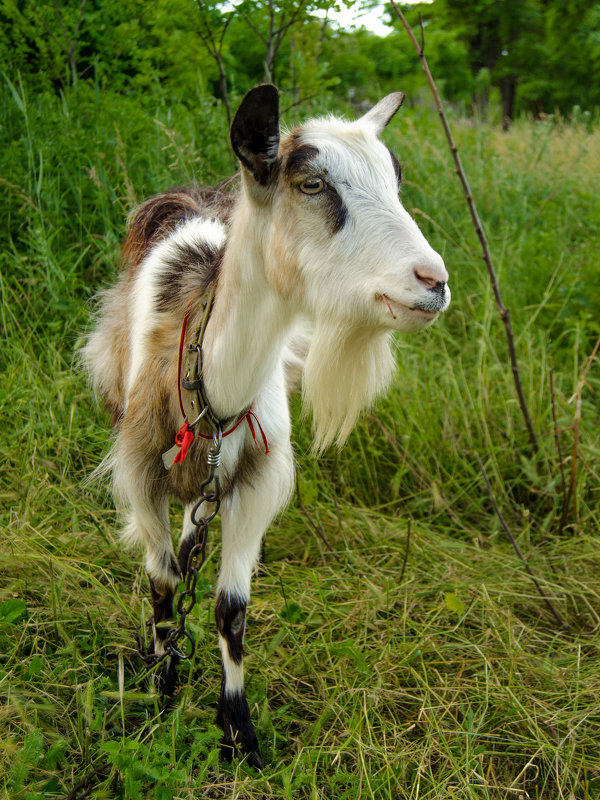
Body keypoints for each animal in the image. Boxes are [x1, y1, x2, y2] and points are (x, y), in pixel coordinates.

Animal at [84, 84, 450, 764]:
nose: (433, 282)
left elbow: (231, 608)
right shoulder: (139, 472)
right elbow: (161, 582)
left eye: (395, 179)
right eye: (311, 183)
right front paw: (159, 688)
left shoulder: (258, 481)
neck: (215, 390)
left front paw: (239, 732)